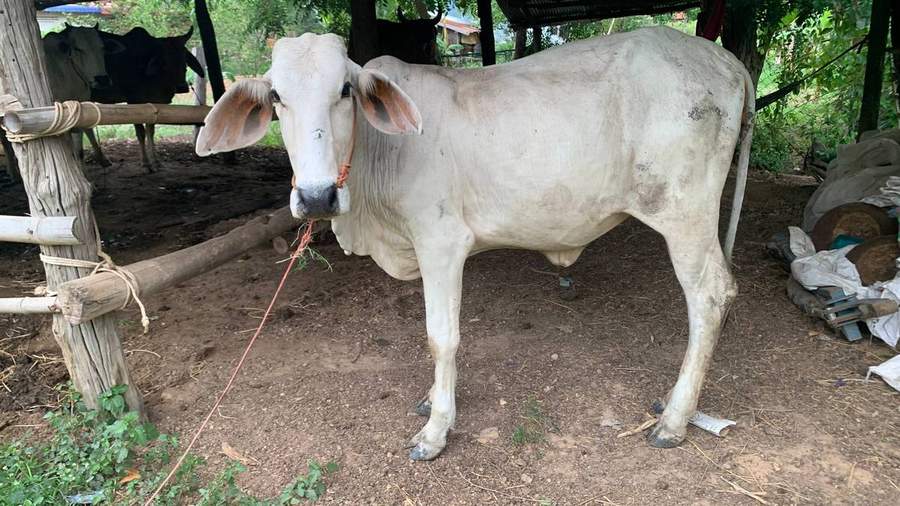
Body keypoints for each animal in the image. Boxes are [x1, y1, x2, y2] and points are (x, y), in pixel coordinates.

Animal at [92, 26, 205, 170]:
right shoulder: (133, 100)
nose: (182, 87)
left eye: (184, 57)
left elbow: (151, 130)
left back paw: (101, 159)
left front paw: (156, 161)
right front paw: (145, 163)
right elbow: (141, 132)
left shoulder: (154, 103)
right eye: (165, 61)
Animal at [195, 27, 755, 461]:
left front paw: (436, 429)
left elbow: (440, 336)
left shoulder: (441, 242)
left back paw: (675, 419)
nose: (316, 196)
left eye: (345, 91)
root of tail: (726, 59)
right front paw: (431, 400)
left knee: (710, 295)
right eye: (276, 98)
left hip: (684, 215)